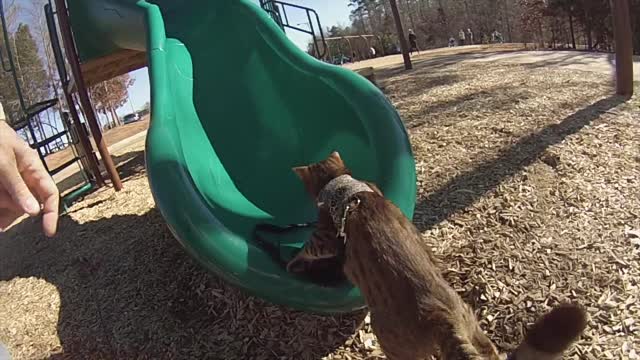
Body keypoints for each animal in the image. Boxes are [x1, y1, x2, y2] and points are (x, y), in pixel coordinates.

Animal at [288, 150, 588, 358]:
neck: (346, 188)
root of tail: (442, 317)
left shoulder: (325, 235)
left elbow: (308, 249)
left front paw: (292, 262)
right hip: (474, 329)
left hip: (390, 340)